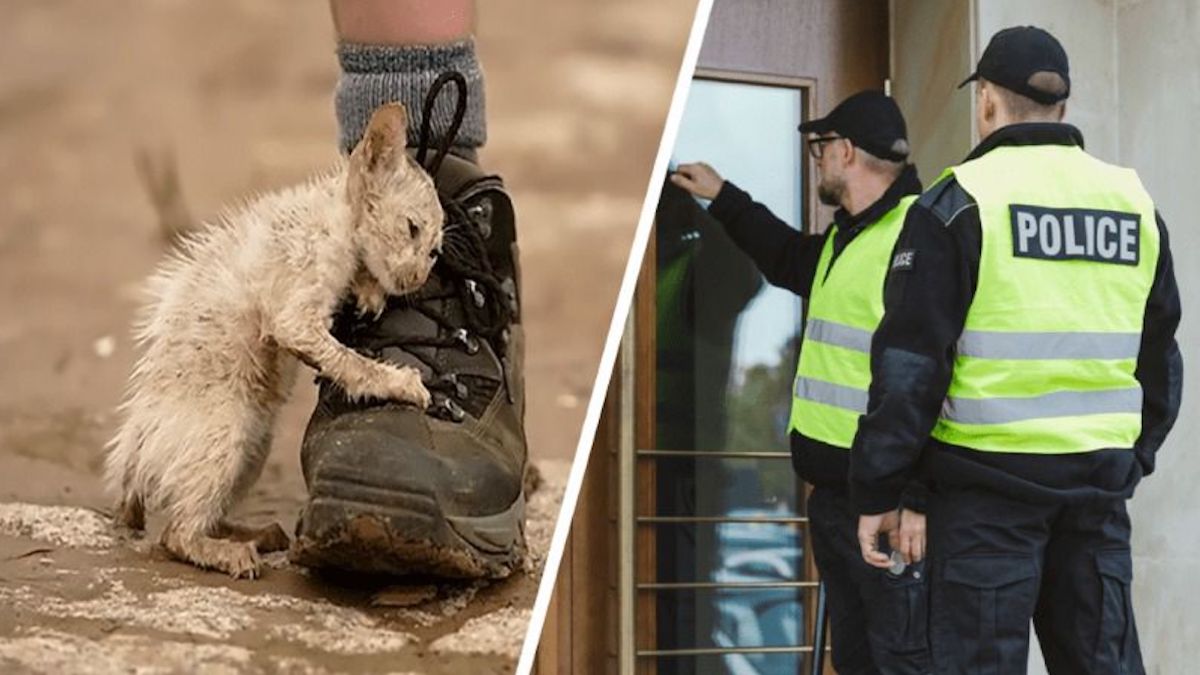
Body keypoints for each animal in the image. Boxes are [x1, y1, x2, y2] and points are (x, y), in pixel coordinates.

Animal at [105, 102, 444, 576]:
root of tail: (133, 458)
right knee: (176, 533)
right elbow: (349, 361)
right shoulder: (294, 315)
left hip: (254, 447)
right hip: (225, 434)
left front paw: (369, 291)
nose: (415, 280)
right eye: (411, 228)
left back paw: (256, 534)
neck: (333, 218)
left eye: (435, 252)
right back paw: (230, 552)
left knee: (199, 516)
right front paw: (401, 383)